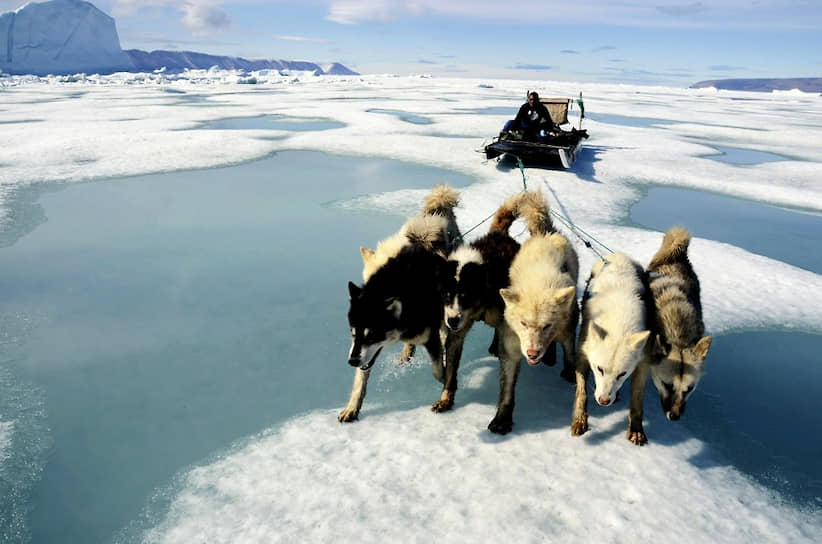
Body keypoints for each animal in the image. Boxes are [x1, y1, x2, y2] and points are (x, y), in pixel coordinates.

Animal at [440, 191, 552, 434]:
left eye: (465, 295)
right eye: (445, 294)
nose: (451, 321)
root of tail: (500, 234)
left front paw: (503, 417)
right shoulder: (457, 330)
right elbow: (451, 371)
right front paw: (446, 399)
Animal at [572, 253, 656, 444]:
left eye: (622, 374)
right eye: (599, 369)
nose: (604, 400)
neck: (619, 322)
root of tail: (619, 255)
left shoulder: (642, 364)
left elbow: (637, 400)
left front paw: (636, 428)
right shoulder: (583, 352)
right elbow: (582, 392)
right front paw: (580, 419)